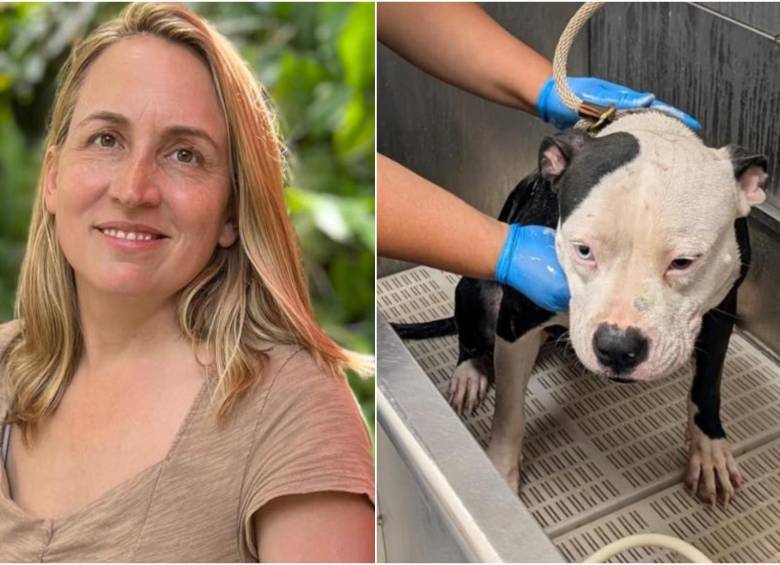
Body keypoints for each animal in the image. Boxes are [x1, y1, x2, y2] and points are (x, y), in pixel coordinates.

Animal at [396, 108, 768, 504]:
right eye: (583, 250)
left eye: (684, 262)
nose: (618, 347)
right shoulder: (516, 322)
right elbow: (509, 412)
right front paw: (500, 472)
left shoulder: (722, 307)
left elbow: (707, 387)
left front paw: (709, 450)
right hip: (477, 292)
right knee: (471, 339)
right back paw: (471, 373)